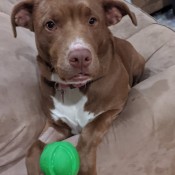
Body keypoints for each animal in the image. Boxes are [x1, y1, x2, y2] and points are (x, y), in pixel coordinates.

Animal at [11, 0, 145, 174]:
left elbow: (90, 129)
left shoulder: (114, 107)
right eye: (50, 24)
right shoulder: (57, 126)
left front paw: (85, 167)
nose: (80, 57)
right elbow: (33, 146)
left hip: (137, 64)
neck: (73, 88)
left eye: (92, 20)